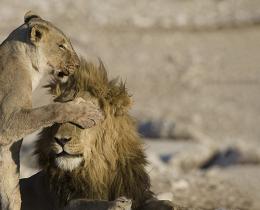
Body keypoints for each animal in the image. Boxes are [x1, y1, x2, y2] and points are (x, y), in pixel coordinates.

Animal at [0, 12, 103, 210]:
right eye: (61, 45)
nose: (78, 64)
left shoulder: (7, 147)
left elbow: (10, 186)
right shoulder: (7, 120)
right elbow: (51, 110)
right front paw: (87, 112)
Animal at [20, 58, 175, 210]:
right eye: (59, 114)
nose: (61, 140)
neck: (97, 171)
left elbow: (163, 203)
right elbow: (84, 203)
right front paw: (118, 204)